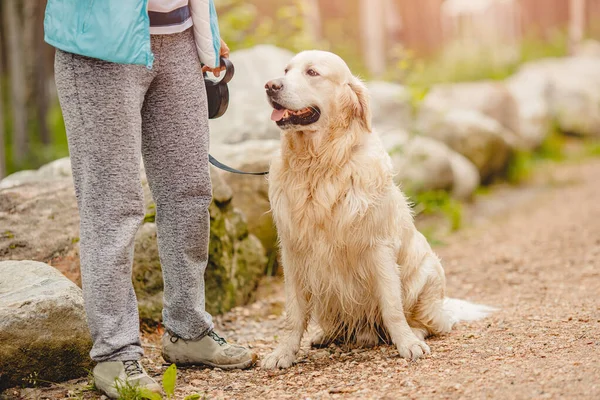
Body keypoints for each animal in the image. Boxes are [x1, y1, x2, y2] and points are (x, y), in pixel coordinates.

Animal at [262, 51, 492, 370]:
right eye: (285, 70)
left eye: (312, 72)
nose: (270, 86)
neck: (320, 164)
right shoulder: (293, 251)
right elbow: (293, 315)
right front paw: (283, 352)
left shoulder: (378, 247)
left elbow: (392, 307)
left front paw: (407, 344)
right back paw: (326, 335)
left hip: (427, 274)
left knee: (433, 323)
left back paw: (414, 332)